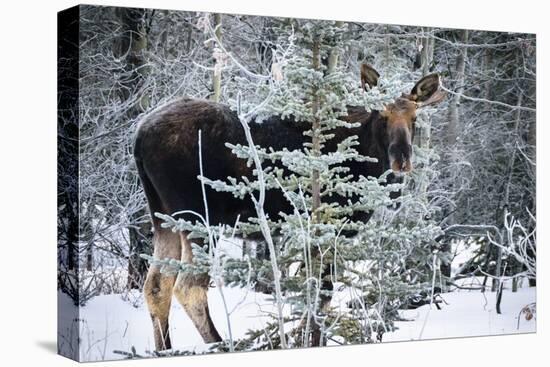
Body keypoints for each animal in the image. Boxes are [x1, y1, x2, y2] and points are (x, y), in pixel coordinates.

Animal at [134, 64, 448, 350]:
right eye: (382, 115)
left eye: (415, 117)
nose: (401, 160)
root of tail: (138, 138)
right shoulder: (330, 227)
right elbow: (322, 294)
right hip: (198, 218)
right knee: (189, 287)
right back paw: (221, 345)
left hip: (163, 218)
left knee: (156, 285)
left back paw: (165, 349)